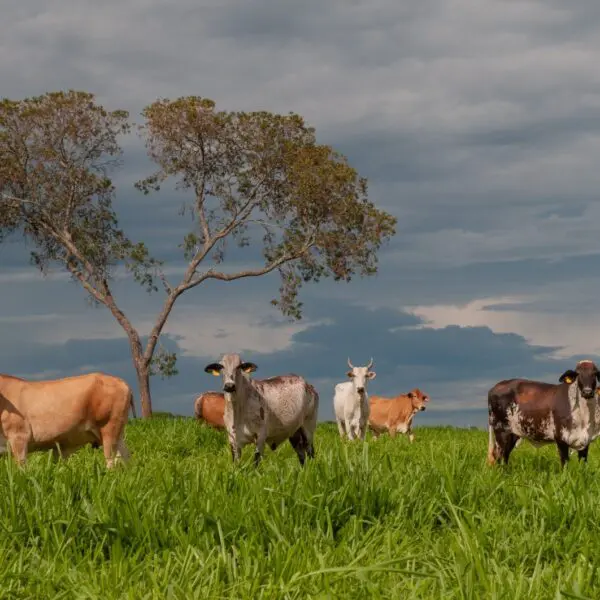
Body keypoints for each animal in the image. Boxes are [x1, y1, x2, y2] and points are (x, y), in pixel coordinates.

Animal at [0, 370, 134, 468]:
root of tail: (121, 382)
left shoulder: (19, 437)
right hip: (118, 433)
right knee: (125, 457)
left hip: (109, 429)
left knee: (111, 461)